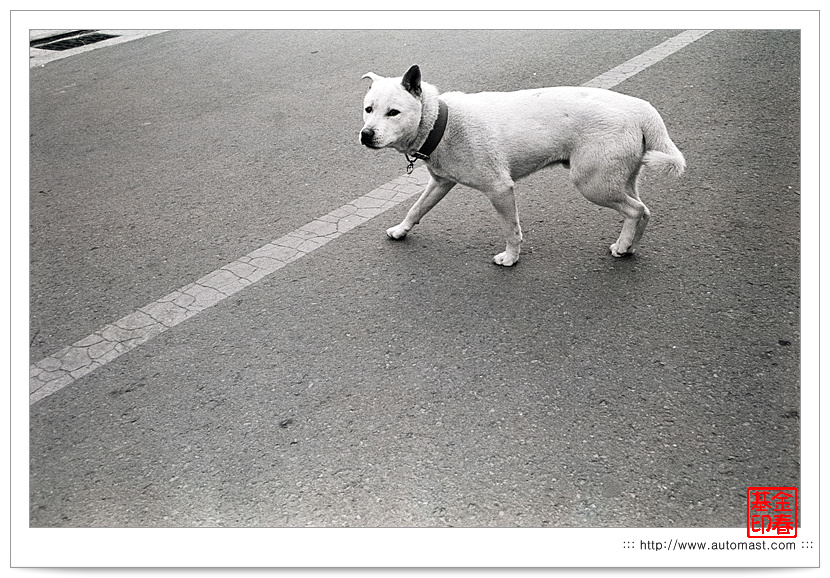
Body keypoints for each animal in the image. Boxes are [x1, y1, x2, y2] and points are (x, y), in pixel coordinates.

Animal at [360, 65, 685, 266]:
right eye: (368, 109)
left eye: (393, 112)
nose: (365, 135)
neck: (443, 121)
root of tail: (640, 108)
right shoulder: (441, 183)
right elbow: (416, 209)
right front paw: (401, 230)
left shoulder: (500, 190)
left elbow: (511, 230)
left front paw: (510, 258)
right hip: (618, 179)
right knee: (644, 211)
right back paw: (628, 247)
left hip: (593, 184)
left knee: (636, 211)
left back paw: (624, 245)